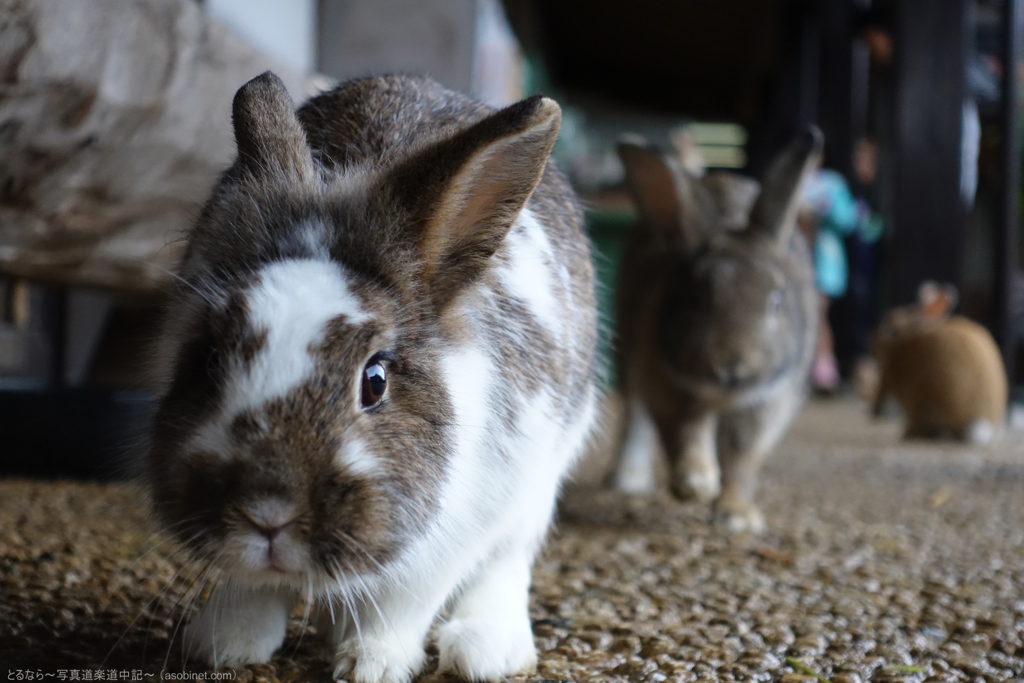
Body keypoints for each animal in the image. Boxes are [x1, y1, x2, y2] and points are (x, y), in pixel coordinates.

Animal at [146, 72, 598, 679]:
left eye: (375, 380)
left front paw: (372, 664)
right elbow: (254, 586)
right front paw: (227, 643)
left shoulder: (456, 529)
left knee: (507, 564)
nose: (268, 513)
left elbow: (403, 602)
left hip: (537, 487)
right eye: (210, 357)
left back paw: (485, 649)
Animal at [610, 127, 819, 532]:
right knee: (635, 418)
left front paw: (736, 516)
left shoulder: (766, 404)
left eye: (776, 300)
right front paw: (696, 483)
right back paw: (626, 480)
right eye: (694, 296)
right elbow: (684, 431)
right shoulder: (665, 384)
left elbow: (741, 457)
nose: (732, 368)